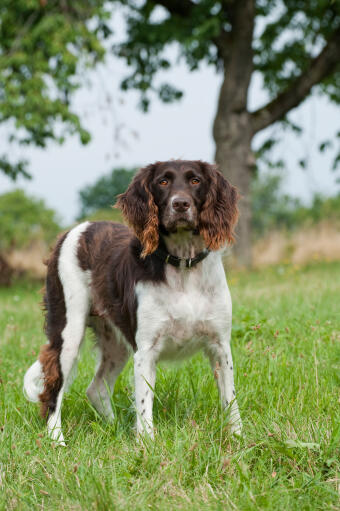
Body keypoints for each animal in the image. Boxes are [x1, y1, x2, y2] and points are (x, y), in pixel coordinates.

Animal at [23, 160, 242, 444]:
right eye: (163, 182)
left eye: (195, 181)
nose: (180, 204)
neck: (183, 267)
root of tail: (72, 232)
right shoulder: (146, 351)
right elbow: (144, 403)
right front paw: (147, 445)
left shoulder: (220, 346)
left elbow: (230, 399)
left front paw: (238, 438)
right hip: (67, 332)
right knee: (53, 389)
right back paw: (56, 439)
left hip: (115, 343)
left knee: (96, 388)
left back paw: (113, 427)